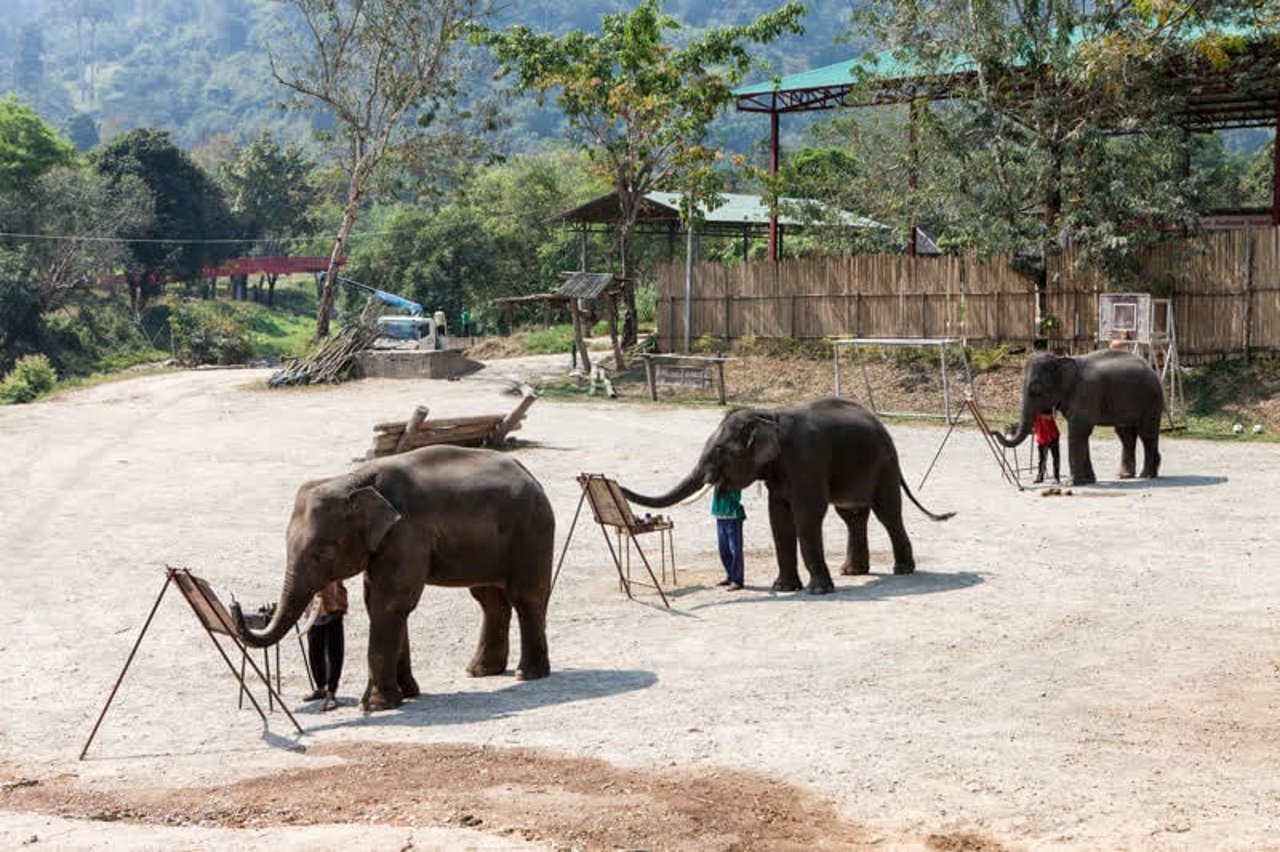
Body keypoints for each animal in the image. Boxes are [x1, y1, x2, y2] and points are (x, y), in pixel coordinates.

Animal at [232, 445, 552, 711]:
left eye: (321, 552)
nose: (235, 604)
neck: (354, 480)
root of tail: (530, 474)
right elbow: (380, 603)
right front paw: (408, 693)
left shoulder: (405, 535)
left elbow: (389, 604)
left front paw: (375, 705)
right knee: (489, 600)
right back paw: (480, 671)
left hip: (532, 531)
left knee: (525, 597)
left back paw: (527, 674)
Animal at [619, 396, 952, 591]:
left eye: (720, 450)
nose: (615, 484)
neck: (769, 415)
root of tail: (882, 425)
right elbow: (778, 518)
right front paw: (782, 588)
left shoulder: (807, 460)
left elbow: (806, 516)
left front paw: (818, 590)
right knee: (852, 516)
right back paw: (852, 572)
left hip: (884, 466)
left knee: (888, 514)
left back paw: (902, 570)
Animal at [993, 347, 1167, 483]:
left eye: (1036, 389)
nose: (994, 430)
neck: (1060, 360)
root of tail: (1153, 370)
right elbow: (1083, 434)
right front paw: (1089, 480)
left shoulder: (1085, 393)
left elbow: (1078, 432)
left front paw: (1072, 483)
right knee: (1126, 435)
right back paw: (1126, 475)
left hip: (1151, 401)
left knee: (1146, 434)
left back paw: (1146, 475)